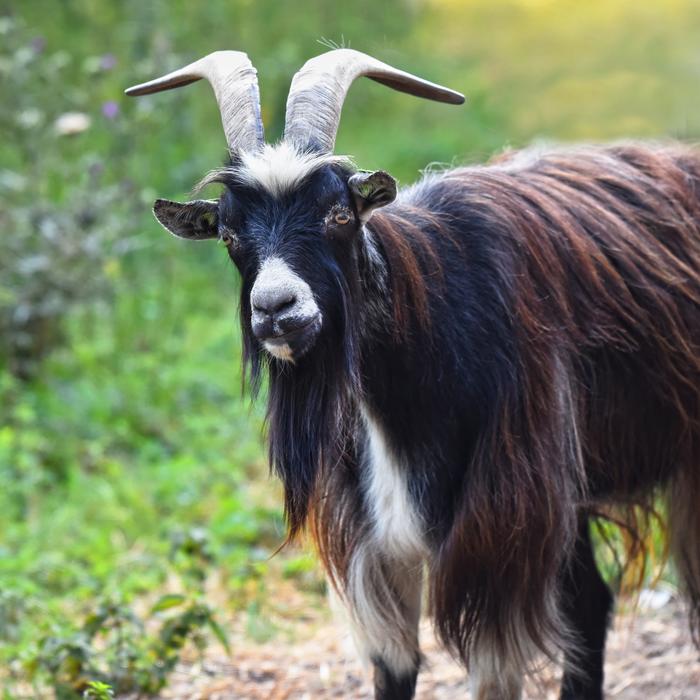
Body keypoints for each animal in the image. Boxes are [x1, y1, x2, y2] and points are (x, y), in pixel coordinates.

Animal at [127, 49, 700, 699]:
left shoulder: (499, 529)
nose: (276, 308)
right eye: (227, 232)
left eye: (339, 213)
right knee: (589, 604)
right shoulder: (374, 542)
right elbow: (394, 667)